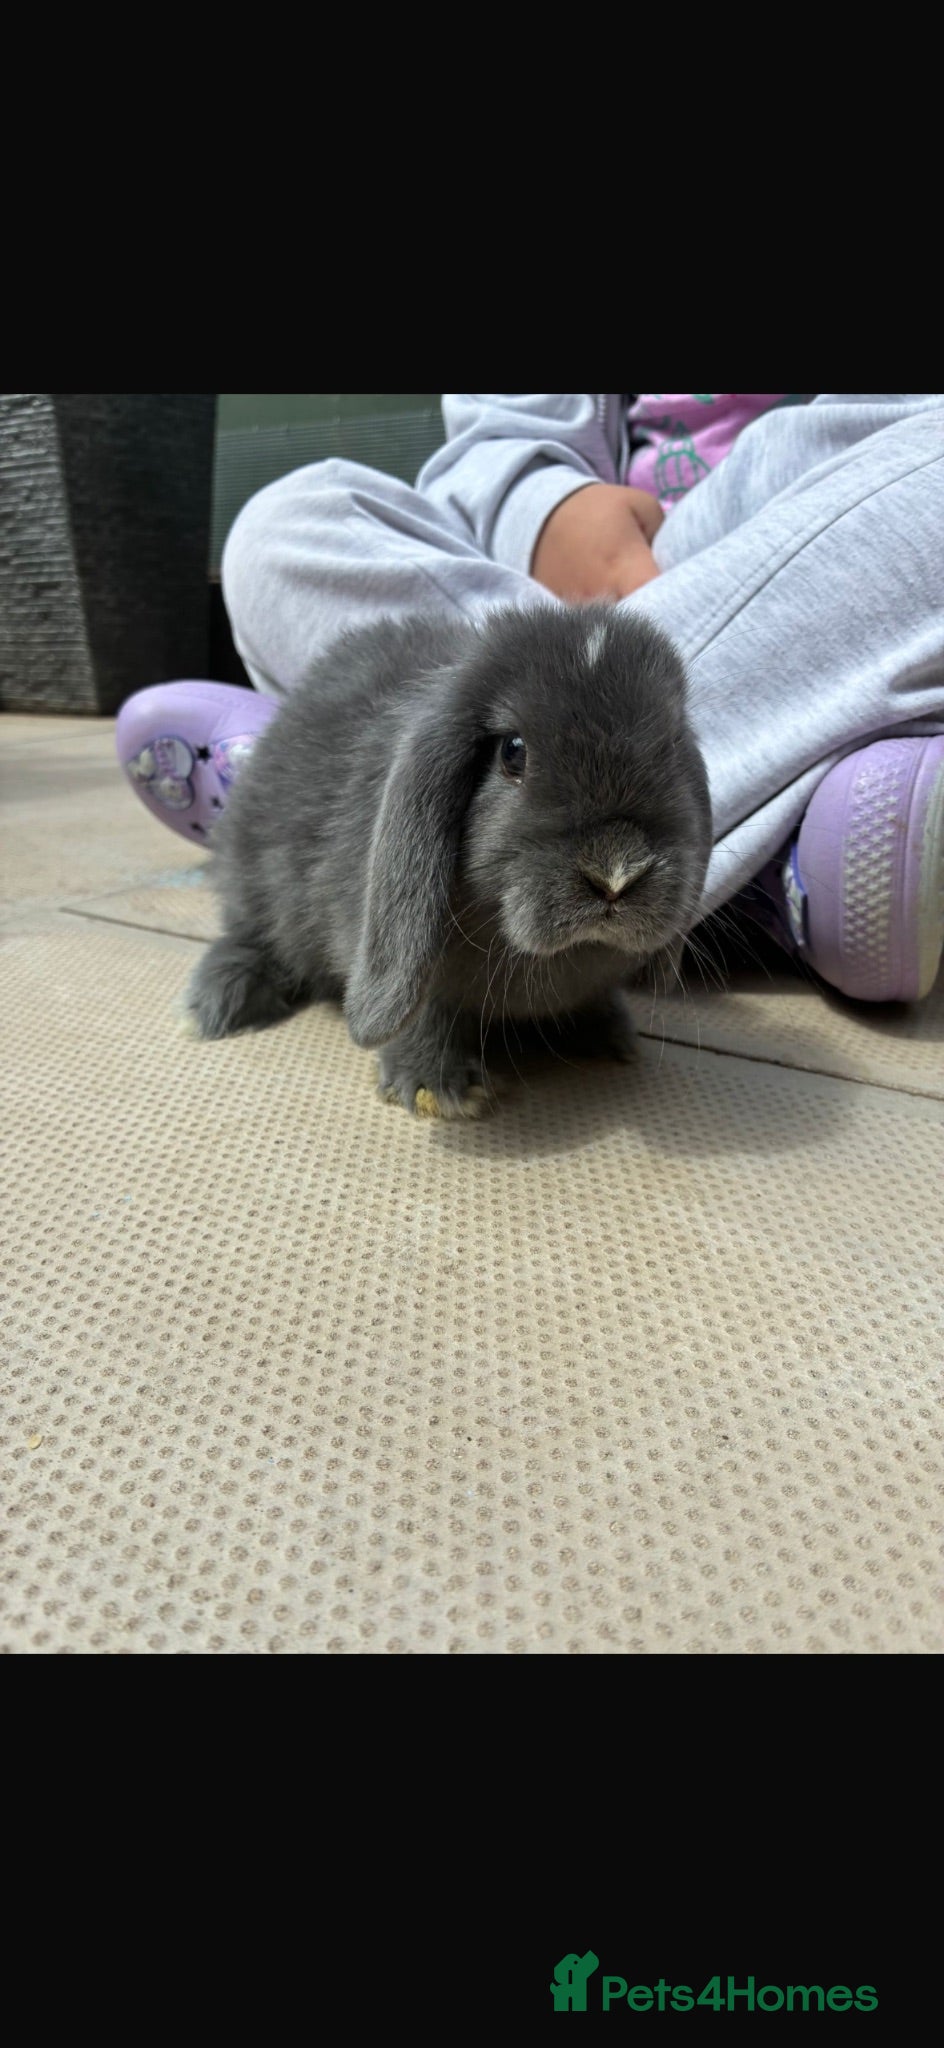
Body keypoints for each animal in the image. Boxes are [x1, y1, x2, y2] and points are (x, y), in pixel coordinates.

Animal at [184, 601, 712, 1116]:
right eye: (513, 752)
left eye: (670, 746)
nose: (616, 875)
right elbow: (424, 1011)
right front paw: (434, 1090)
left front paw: (609, 1033)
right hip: (252, 877)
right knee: (251, 937)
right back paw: (218, 1003)